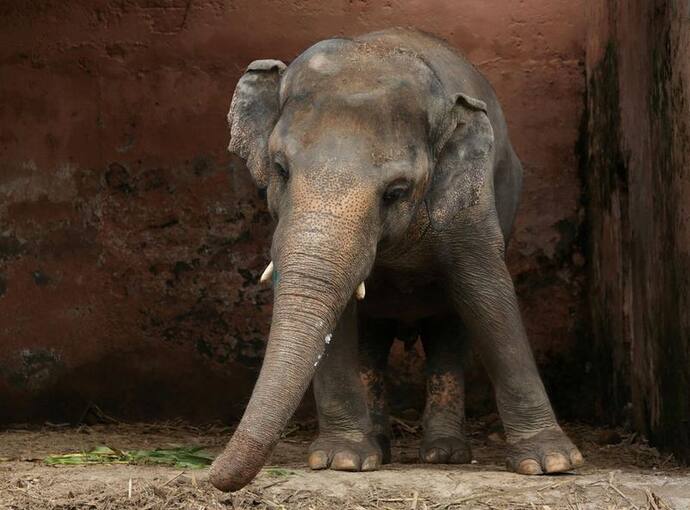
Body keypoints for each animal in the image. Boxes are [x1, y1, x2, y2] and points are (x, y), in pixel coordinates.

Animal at [208, 26, 580, 490]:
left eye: (396, 192)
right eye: (280, 169)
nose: (207, 474)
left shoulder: (472, 205)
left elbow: (488, 294)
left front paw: (552, 463)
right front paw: (342, 460)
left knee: (448, 330)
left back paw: (444, 454)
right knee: (373, 338)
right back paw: (381, 448)